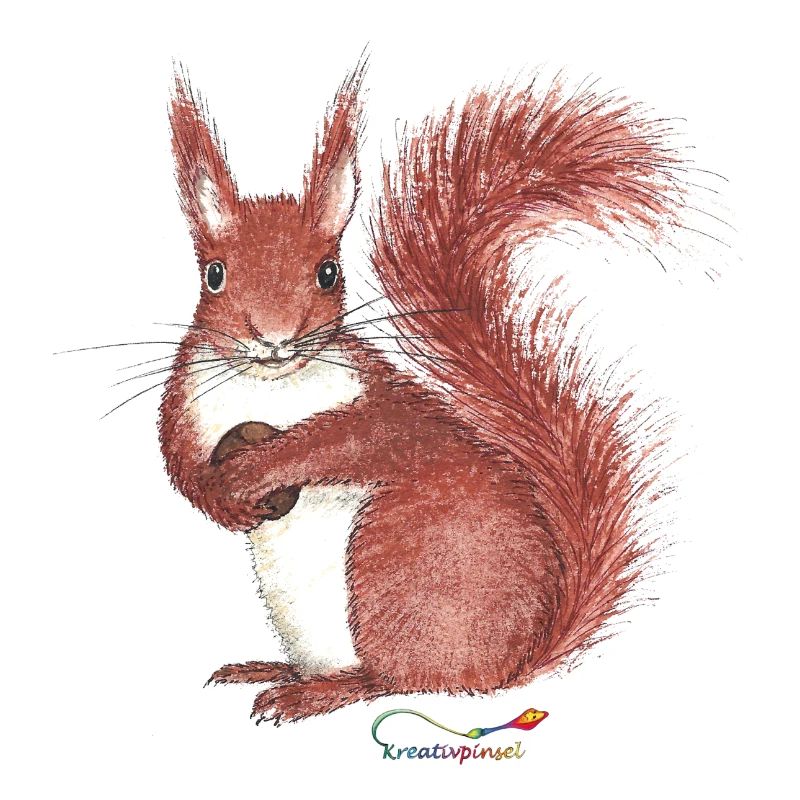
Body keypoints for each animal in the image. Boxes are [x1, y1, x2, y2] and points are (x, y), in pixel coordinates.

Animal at [159, 60, 683, 725]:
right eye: (214, 275)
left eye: (328, 273)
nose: (275, 339)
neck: (270, 387)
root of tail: (510, 666)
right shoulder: (186, 400)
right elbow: (179, 461)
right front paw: (219, 498)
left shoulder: (384, 406)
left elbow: (346, 440)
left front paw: (260, 468)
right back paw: (272, 669)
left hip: (392, 562)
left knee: (399, 680)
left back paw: (320, 691)